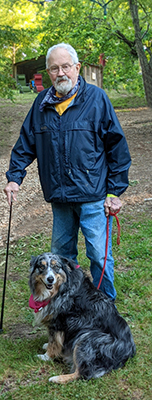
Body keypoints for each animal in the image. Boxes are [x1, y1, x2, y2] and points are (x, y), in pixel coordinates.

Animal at [28, 253, 135, 384]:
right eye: (41, 267)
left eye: (56, 267)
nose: (50, 279)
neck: (61, 288)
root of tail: (128, 352)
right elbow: (54, 342)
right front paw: (47, 346)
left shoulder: (59, 323)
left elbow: (54, 343)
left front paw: (46, 356)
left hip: (87, 337)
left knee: (82, 374)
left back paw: (57, 378)